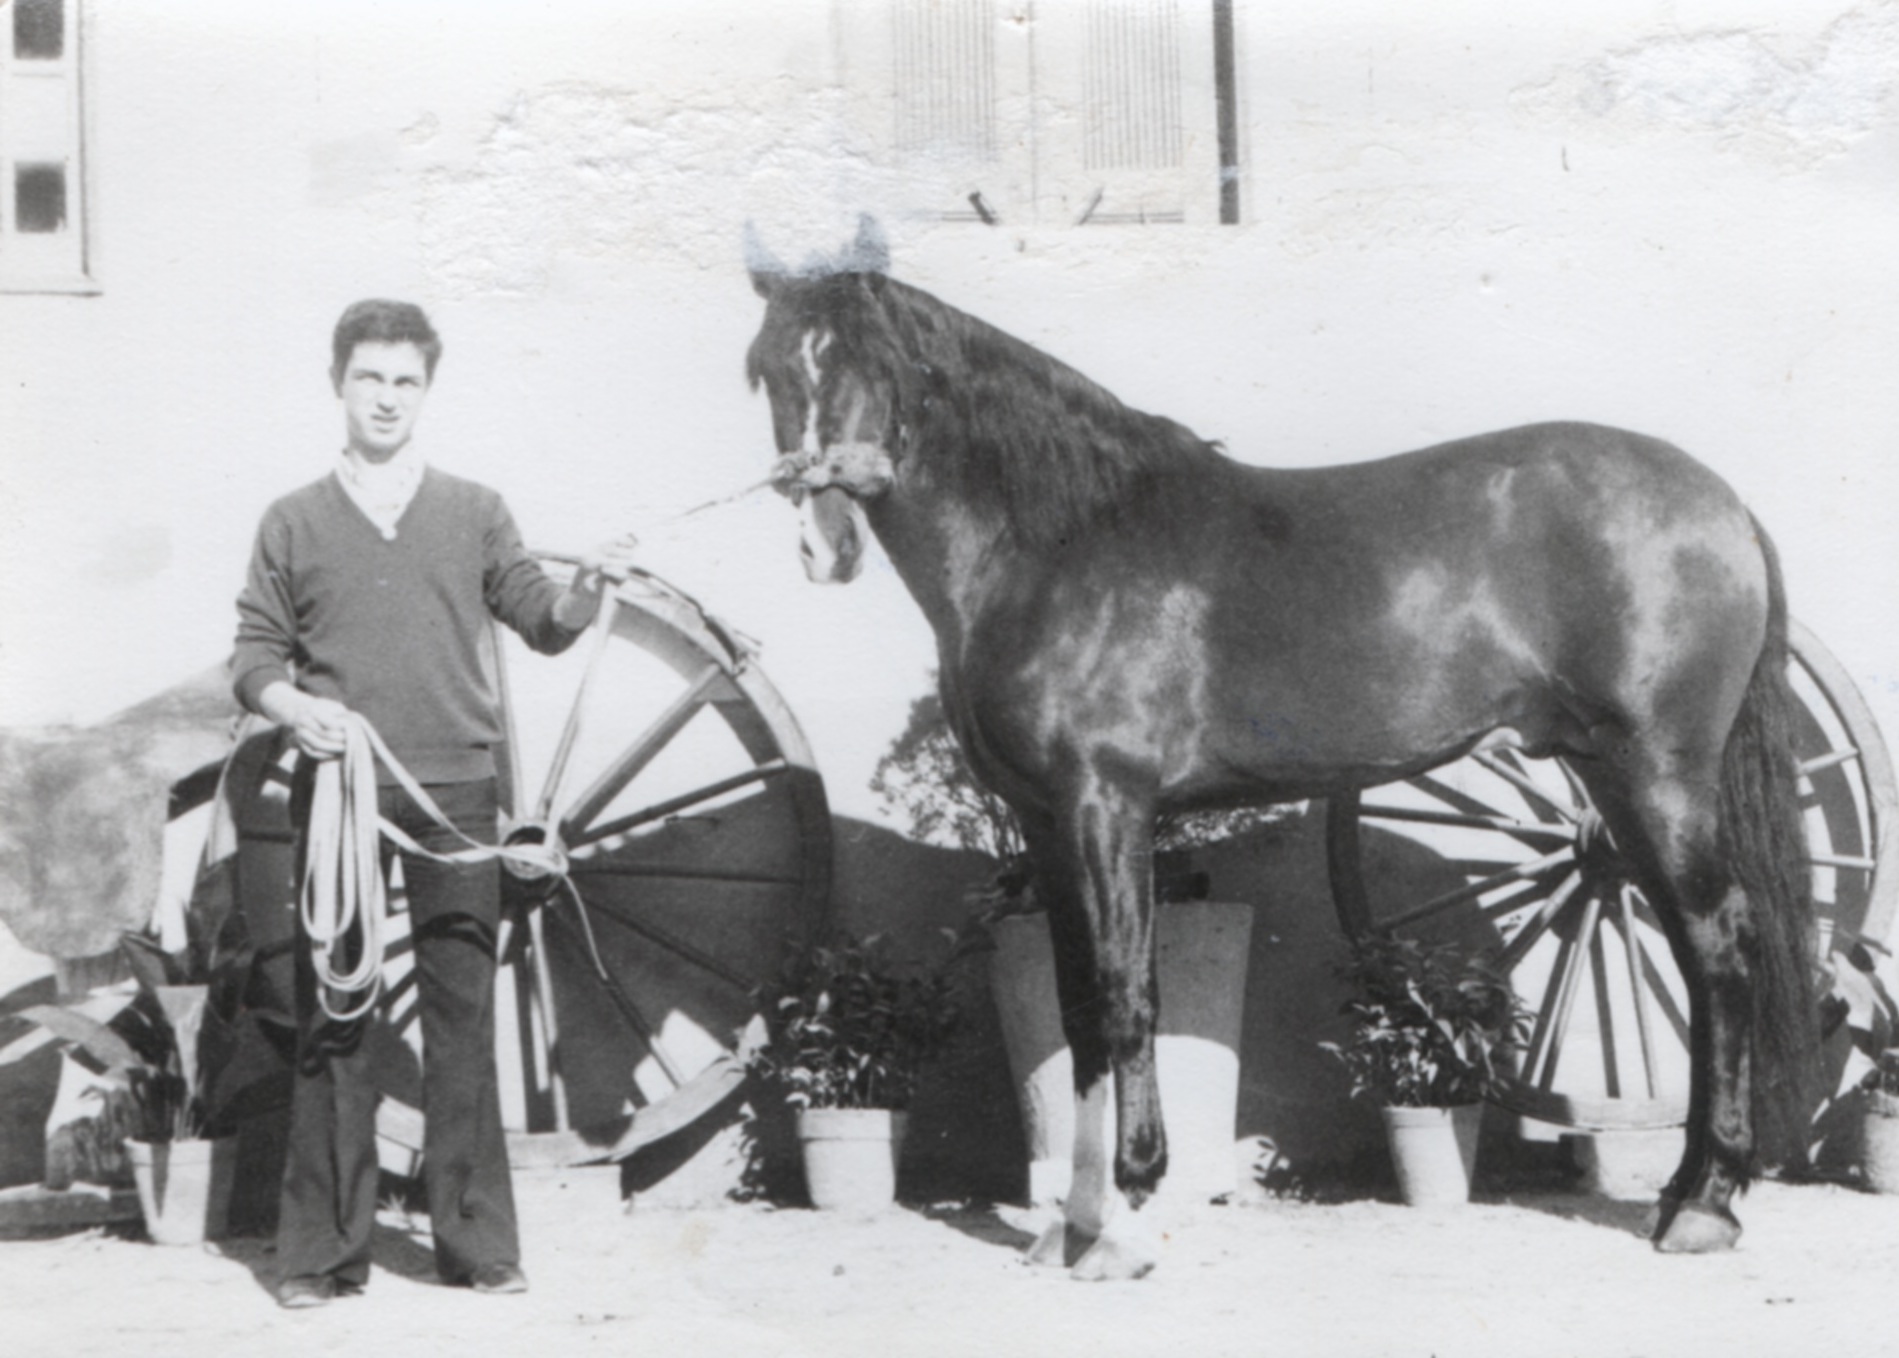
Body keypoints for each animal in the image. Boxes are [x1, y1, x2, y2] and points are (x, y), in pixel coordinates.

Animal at [740, 230, 1807, 1276]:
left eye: (881, 364)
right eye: (764, 369)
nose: (822, 536)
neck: (1060, 545)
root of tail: (1719, 501)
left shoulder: (1105, 805)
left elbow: (1126, 998)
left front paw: (1126, 1215)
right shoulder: (1045, 821)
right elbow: (1076, 1013)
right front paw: (1072, 1224)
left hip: (1655, 773)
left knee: (1718, 949)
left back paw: (1702, 1205)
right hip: (1611, 778)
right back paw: (1687, 1193)